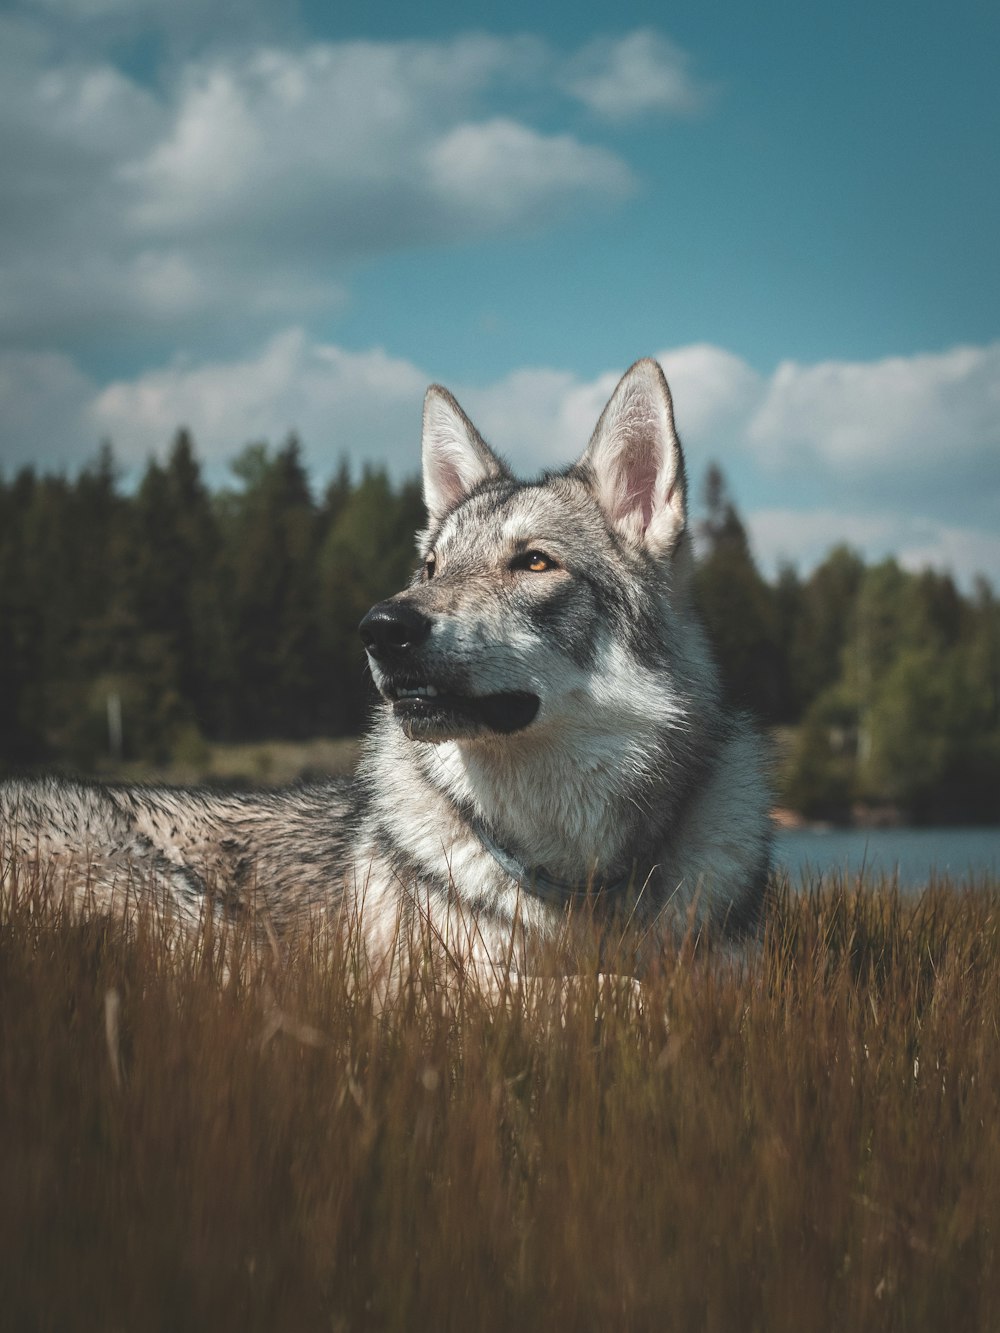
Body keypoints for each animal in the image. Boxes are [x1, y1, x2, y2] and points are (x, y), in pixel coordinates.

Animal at [0, 359, 773, 997]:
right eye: (430, 568)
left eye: (534, 562)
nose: (380, 627)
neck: (577, 877)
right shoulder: (424, 977)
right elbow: (624, 989)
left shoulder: (738, 962)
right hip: (204, 929)